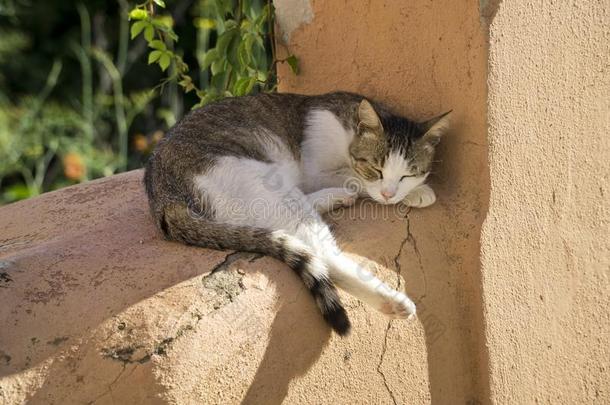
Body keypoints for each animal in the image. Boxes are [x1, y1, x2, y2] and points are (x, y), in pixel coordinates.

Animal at [142, 91, 446, 334]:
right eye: (375, 168)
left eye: (407, 174)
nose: (389, 194)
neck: (347, 130)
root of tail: (163, 196)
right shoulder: (316, 172)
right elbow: (356, 180)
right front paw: (409, 192)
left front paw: (414, 191)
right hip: (265, 180)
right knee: (322, 255)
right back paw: (391, 302)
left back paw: (335, 199)